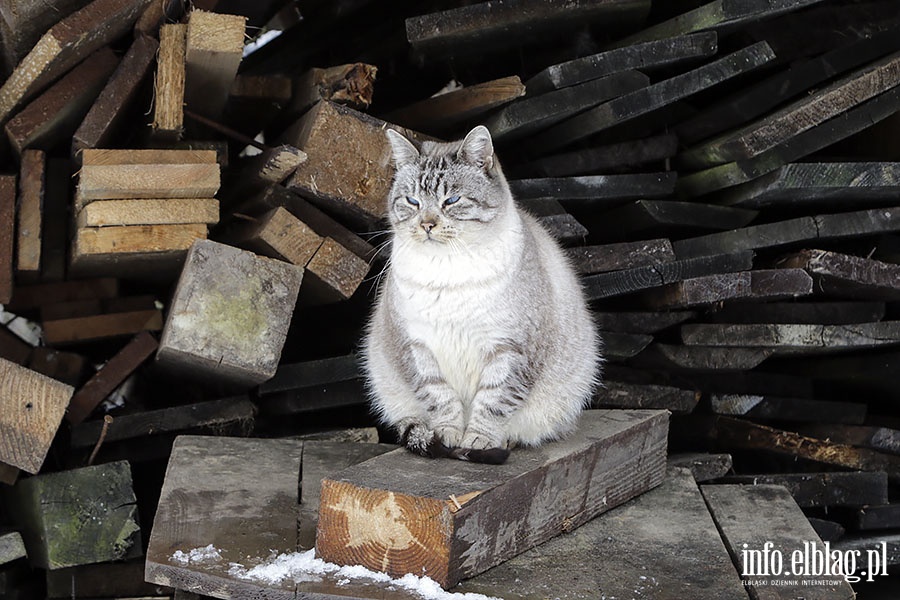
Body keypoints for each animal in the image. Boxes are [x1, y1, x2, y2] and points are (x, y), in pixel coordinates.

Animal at [362, 125, 600, 464]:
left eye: (452, 200)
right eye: (412, 201)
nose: (427, 225)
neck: (448, 270)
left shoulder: (509, 348)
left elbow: (493, 403)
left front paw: (478, 442)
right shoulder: (417, 347)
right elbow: (441, 400)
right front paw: (448, 437)